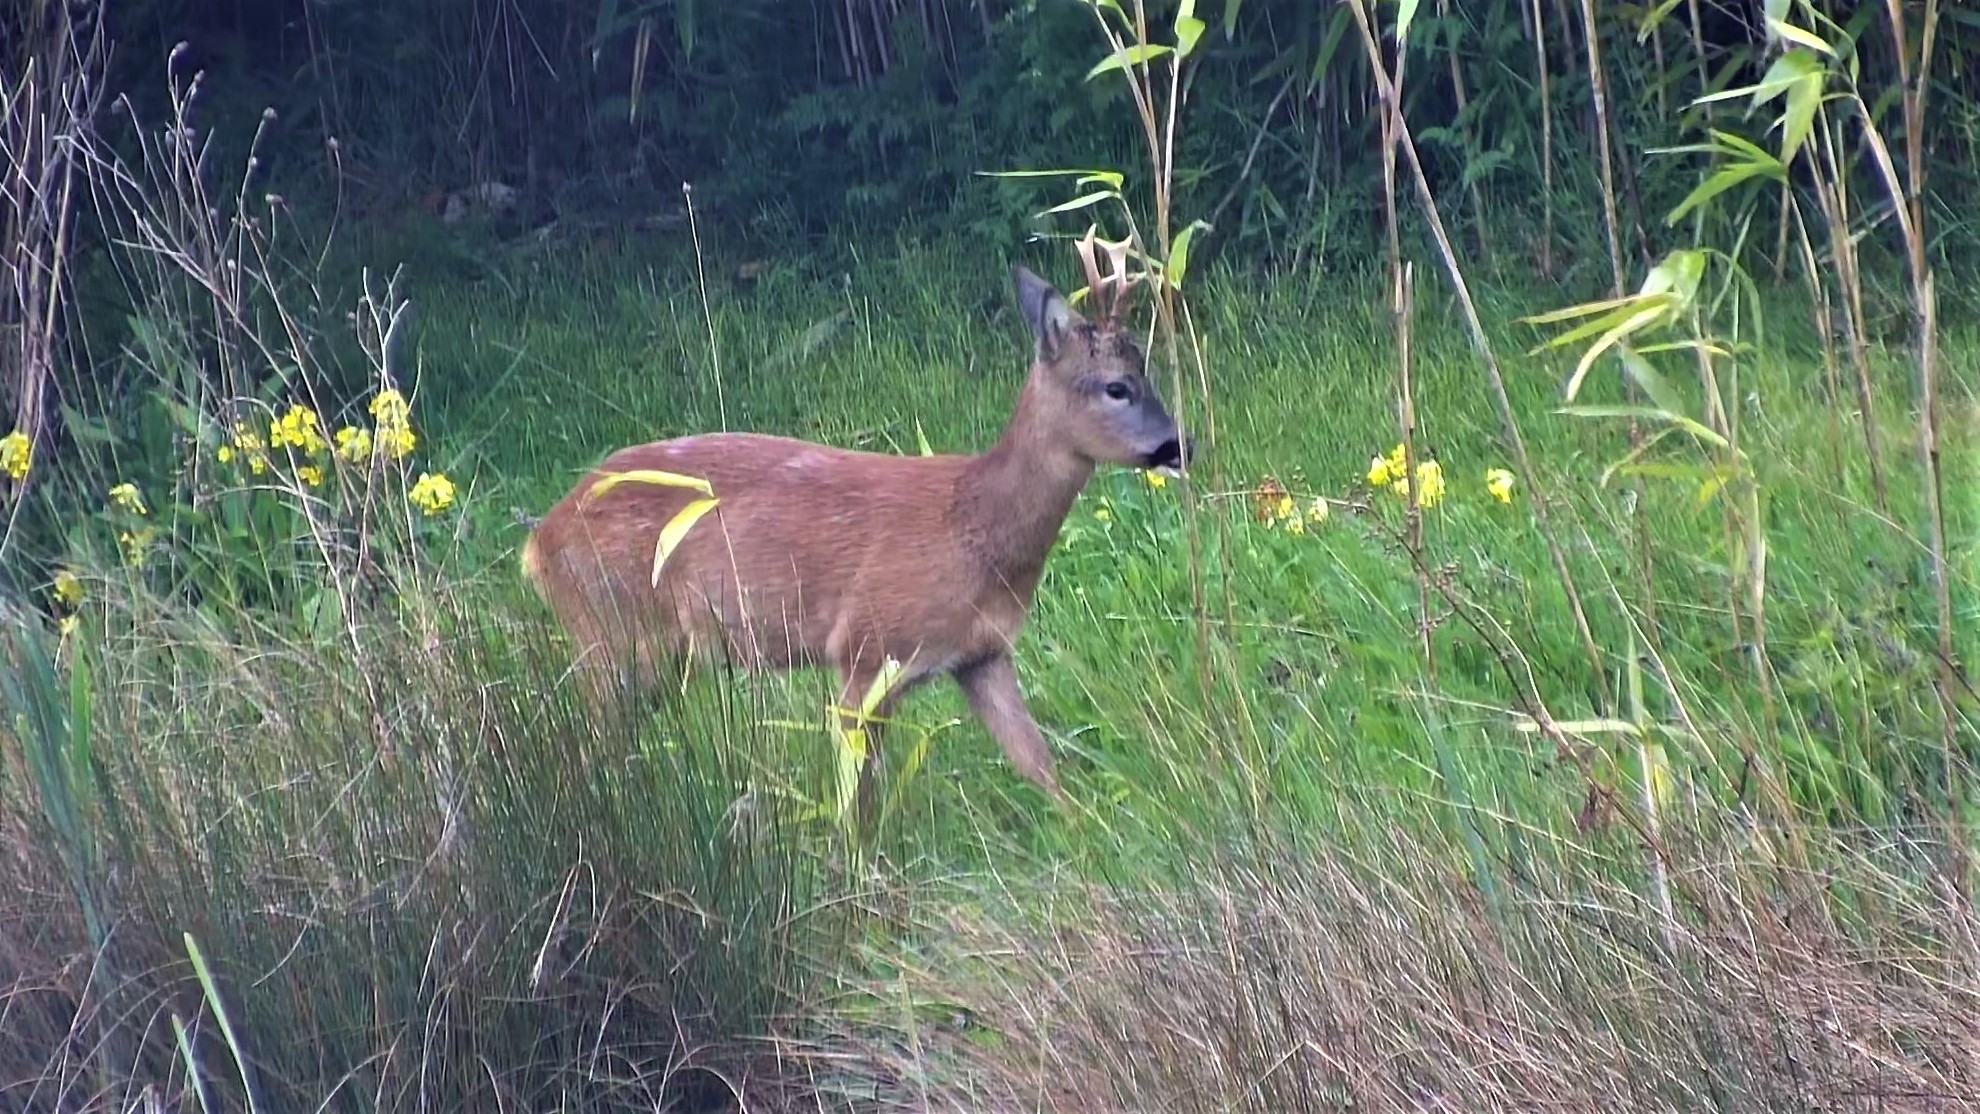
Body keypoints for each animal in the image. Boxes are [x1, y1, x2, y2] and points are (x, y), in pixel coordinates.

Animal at [519, 235, 1187, 804]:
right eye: (1117, 386)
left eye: (1147, 369)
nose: (1178, 445)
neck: (974, 527)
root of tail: (541, 540)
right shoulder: (865, 646)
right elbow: (856, 796)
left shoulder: (983, 655)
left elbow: (1041, 767)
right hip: (615, 631)